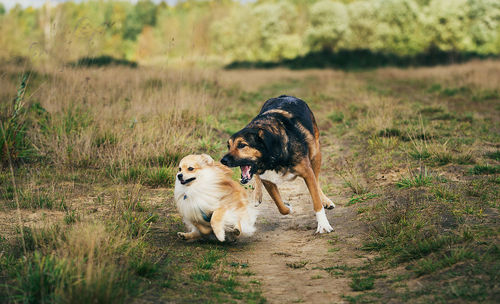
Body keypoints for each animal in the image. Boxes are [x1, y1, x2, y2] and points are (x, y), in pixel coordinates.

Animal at [221, 95, 334, 233]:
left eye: (242, 145)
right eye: (228, 146)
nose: (223, 160)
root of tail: (285, 95)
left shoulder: (308, 173)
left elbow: (316, 201)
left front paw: (323, 225)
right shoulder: (268, 180)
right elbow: (280, 206)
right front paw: (287, 206)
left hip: (316, 153)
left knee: (317, 181)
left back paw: (325, 200)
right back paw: (257, 195)